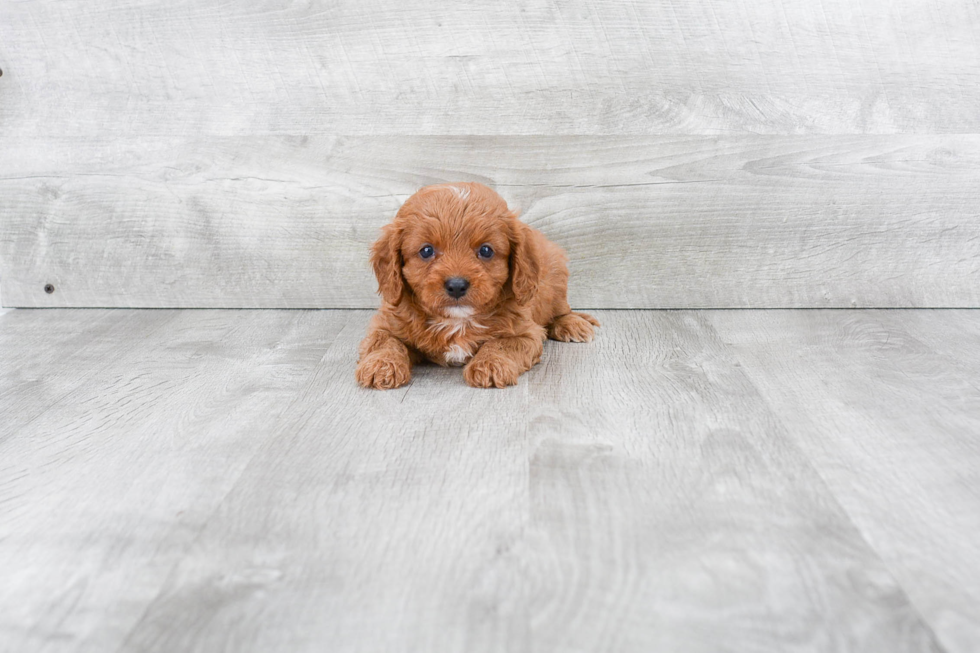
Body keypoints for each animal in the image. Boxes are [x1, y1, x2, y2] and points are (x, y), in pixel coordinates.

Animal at [354, 181, 592, 388]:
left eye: (486, 250)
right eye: (426, 251)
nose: (457, 285)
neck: (456, 320)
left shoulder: (526, 332)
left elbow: (501, 344)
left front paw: (490, 364)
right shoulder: (387, 322)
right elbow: (384, 341)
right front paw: (381, 365)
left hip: (556, 278)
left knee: (561, 309)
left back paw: (572, 324)